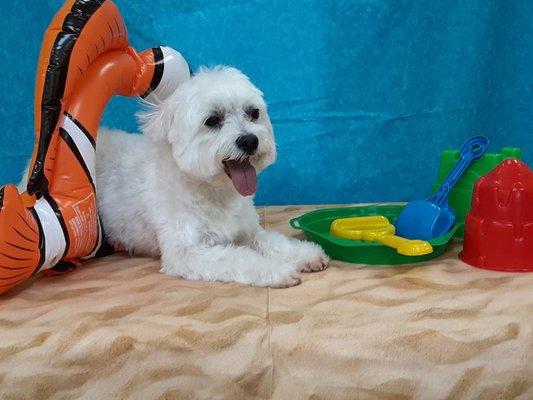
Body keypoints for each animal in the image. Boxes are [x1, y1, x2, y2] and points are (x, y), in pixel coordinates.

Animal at [96, 67, 328, 286]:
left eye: (254, 113)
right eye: (213, 120)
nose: (249, 140)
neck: (213, 191)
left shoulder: (248, 231)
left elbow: (274, 241)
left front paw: (307, 254)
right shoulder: (187, 252)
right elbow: (240, 259)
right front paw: (276, 270)